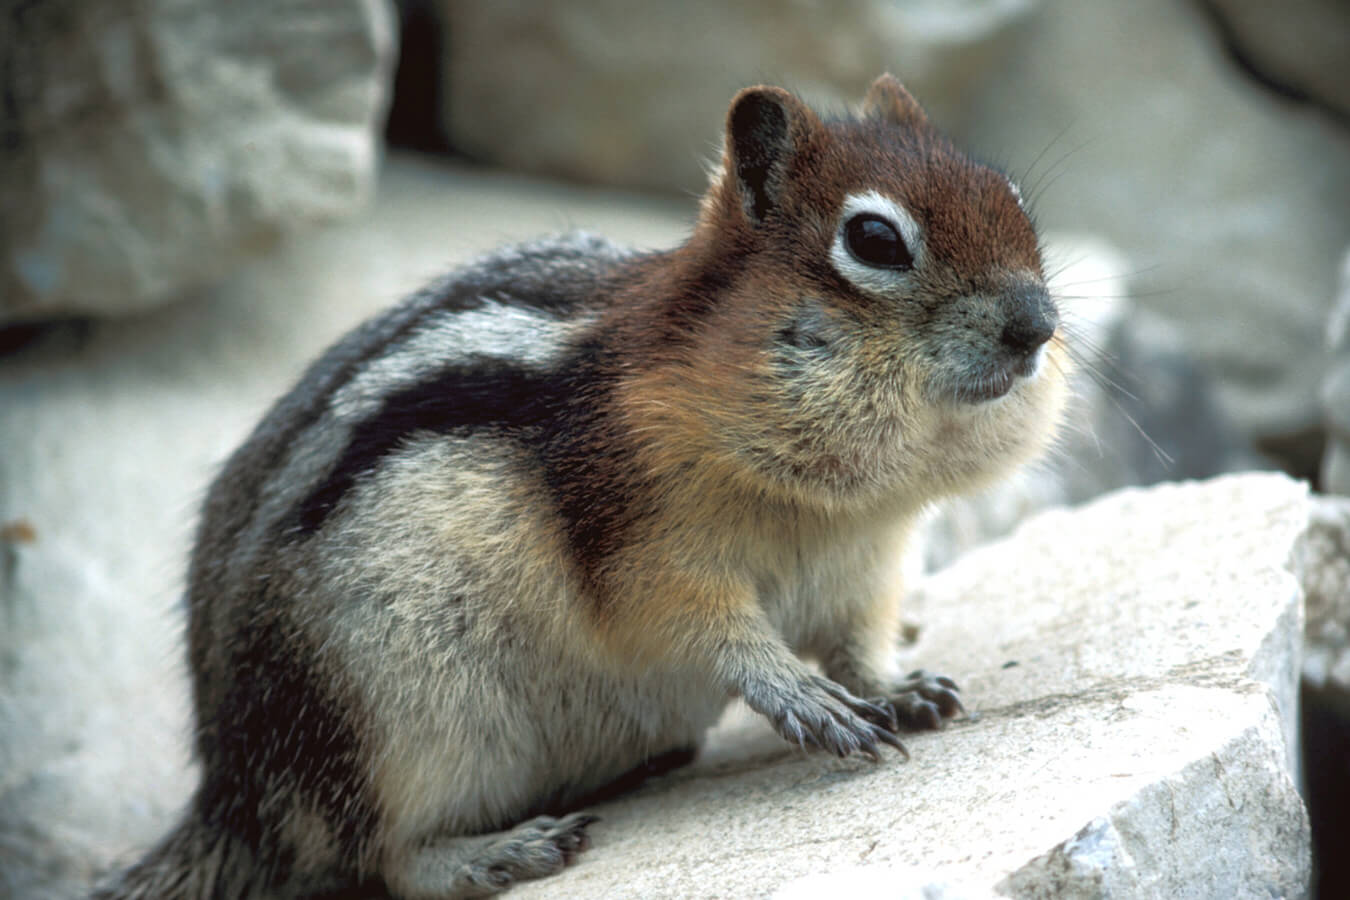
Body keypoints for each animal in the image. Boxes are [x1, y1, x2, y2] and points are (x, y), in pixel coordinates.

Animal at [92, 73, 1063, 895]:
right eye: (874, 239)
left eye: (1012, 200)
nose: (1039, 325)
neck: (842, 501)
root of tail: (231, 797)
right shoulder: (640, 541)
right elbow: (705, 631)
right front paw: (801, 697)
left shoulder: (870, 562)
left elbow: (860, 640)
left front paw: (899, 688)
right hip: (393, 717)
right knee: (380, 855)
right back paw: (499, 851)